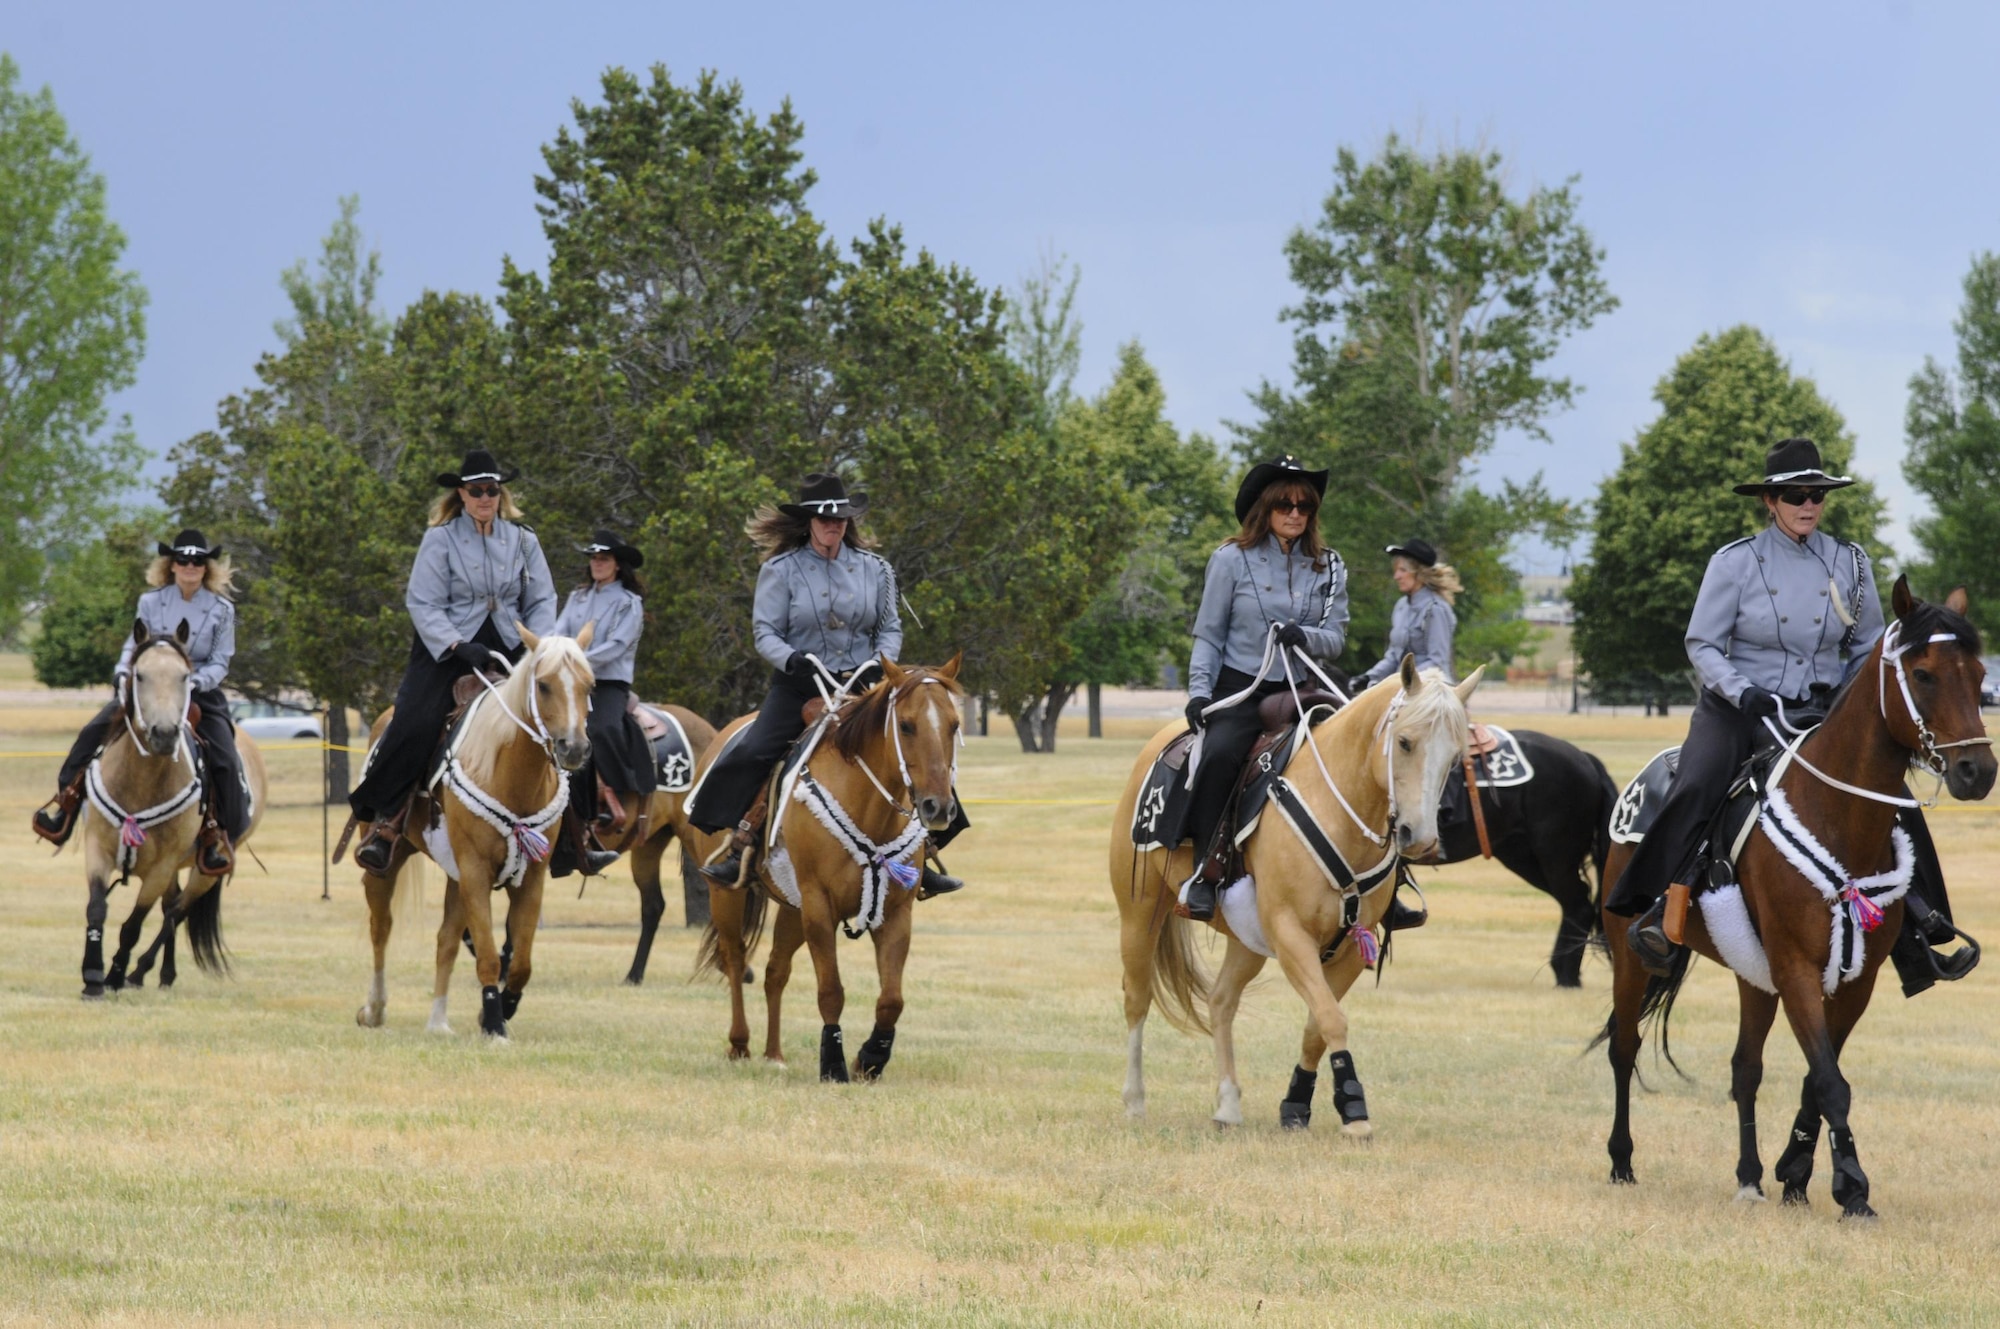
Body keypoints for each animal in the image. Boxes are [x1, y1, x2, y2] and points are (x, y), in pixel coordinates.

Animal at [76, 624, 270, 996]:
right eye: (140, 675)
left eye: (185, 677)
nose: (164, 734)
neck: (141, 784)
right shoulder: (97, 848)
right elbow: (96, 908)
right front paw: (92, 976)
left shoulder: (160, 868)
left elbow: (133, 926)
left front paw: (114, 977)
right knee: (172, 905)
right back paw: (162, 974)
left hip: (207, 869)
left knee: (176, 913)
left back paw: (139, 973)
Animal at [356, 628, 596, 1040]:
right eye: (544, 685)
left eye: (589, 684)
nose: (574, 748)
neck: (510, 773)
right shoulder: (475, 871)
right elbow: (487, 955)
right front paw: (495, 1026)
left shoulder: (529, 877)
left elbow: (520, 962)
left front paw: (500, 1010)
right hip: (388, 864)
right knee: (381, 929)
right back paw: (374, 1008)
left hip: (456, 877)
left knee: (446, 941)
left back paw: (438, 1021)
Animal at [696, 652, 960, 1080]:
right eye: (906, 725)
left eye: (954, 725)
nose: (938, 807)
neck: (867, 808)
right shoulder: (820, 908)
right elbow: (831, 991)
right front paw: (833, 1063)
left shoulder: (895, 911)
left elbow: (891, 999)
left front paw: (870, 1059)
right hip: (727, 895)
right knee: (735, 959)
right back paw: (740, 1044)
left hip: (792, 907)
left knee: (775, 971)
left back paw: (774, 1053)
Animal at [1112, 652, 1488, 1128]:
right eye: (1404, 742)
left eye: (1456, 756)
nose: (1418, 838)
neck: (1339, 809)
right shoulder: (1291, 933)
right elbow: (1330, 1017)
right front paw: (1354, 1107)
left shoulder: (1350, 945)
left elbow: (1317, 1025)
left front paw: (1297, 1103)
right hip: (1139, 912)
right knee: (1136, 999)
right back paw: (1134, 1100)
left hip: (1246, 940)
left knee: (1220, 1001)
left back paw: (1228, 1103)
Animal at [1584, 576, 1992, 1216]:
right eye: (1924, 674)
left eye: (1978, 675)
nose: (1978, 771)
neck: (1838, 817)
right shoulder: (1796, 964)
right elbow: (1829, 1080)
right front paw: (1852, 1187)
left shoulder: (1855, 978)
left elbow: (1816, 1077)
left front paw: (1796, 1172)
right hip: (1632, 955)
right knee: (1624, 1048)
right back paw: (1622, 1161)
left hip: (1751, 971)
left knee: (1744, 1068)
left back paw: (1749, 1176)